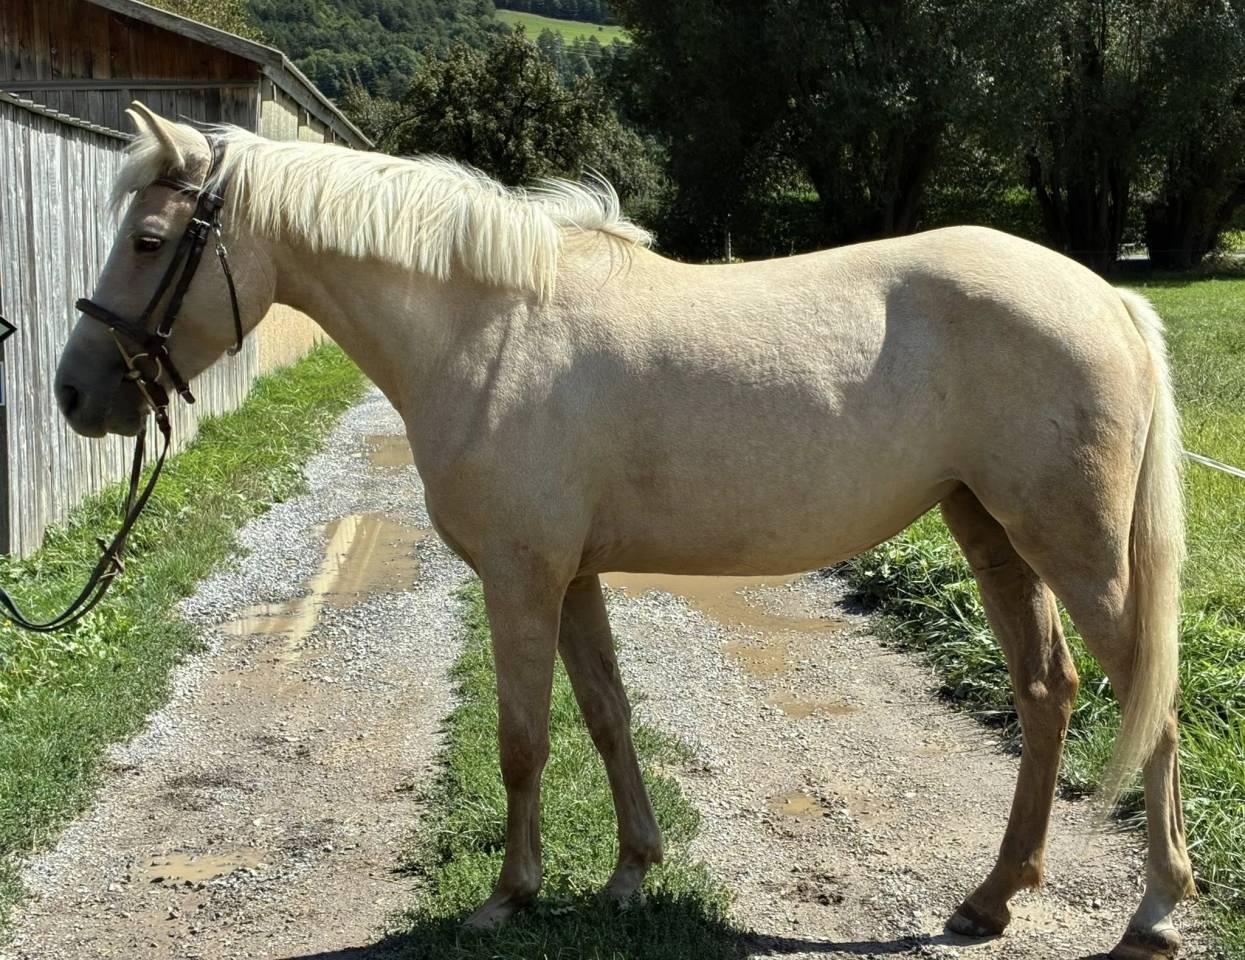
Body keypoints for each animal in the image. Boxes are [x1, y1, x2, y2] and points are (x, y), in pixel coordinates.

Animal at [53, 102, 1194, 959]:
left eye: (149, 241)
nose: (75, 392)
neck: (489, 329)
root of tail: (1107, 296)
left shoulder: (519, 575)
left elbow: (523, 737)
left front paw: (508, 896)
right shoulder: (573, 576)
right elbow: (606, 716)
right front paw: (630, 872)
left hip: (1076, 549)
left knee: (1144, 695)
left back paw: (1153, 912)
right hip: (991, 530)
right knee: (1046, 692)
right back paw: (991, 898)